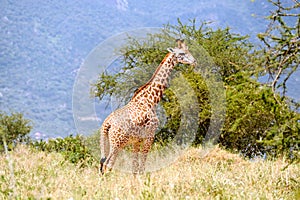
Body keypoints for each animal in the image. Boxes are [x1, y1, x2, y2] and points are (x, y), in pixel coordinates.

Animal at [99, 39, 197, 175]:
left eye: (188, 50)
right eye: (182, 53)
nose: (194, 61)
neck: (151, 100)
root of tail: (107, 124)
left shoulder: (136, 140)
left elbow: (134, 168)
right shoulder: (150, 136)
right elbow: (142, 167)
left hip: (106, 141)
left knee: (102, 164)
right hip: (117, 143)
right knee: (107, 165)